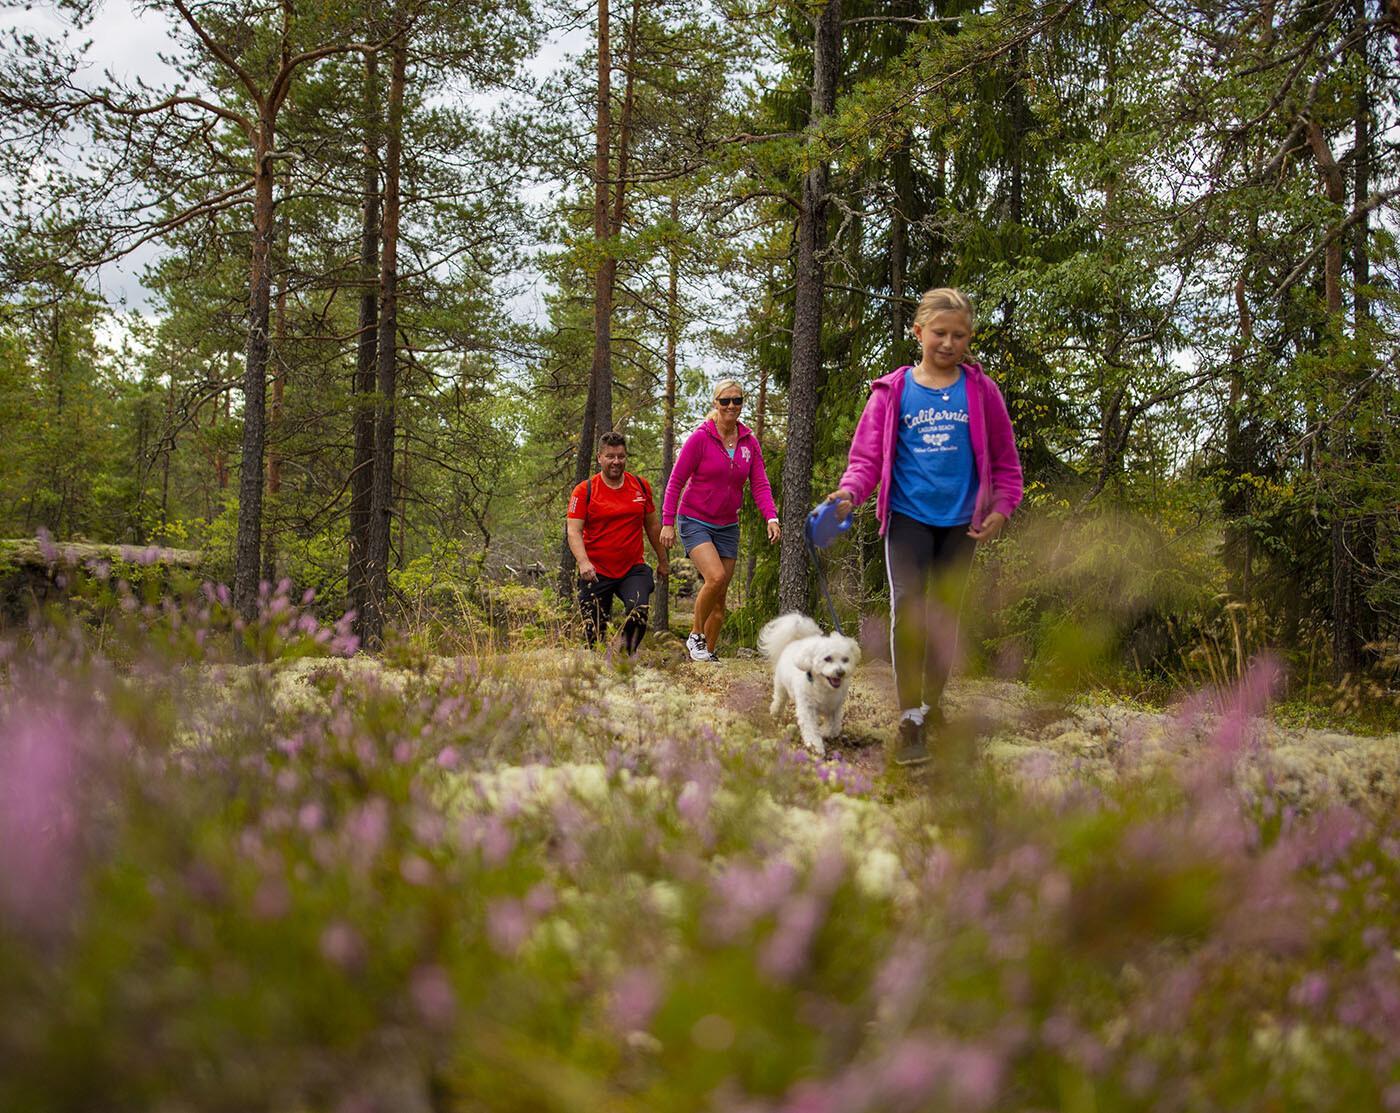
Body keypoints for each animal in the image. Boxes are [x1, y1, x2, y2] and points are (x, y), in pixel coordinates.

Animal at [761, 610, 856, 756]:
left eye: (845, 659)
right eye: (827, 658)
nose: (840, 672)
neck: (823, 686)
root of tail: (794, 642)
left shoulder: (835, 707)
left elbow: (833, 727)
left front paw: (824, 732)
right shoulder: (808, 707)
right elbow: (811, 727)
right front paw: (815, 746)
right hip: (781, 686)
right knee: (779, 699)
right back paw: (775, 712)